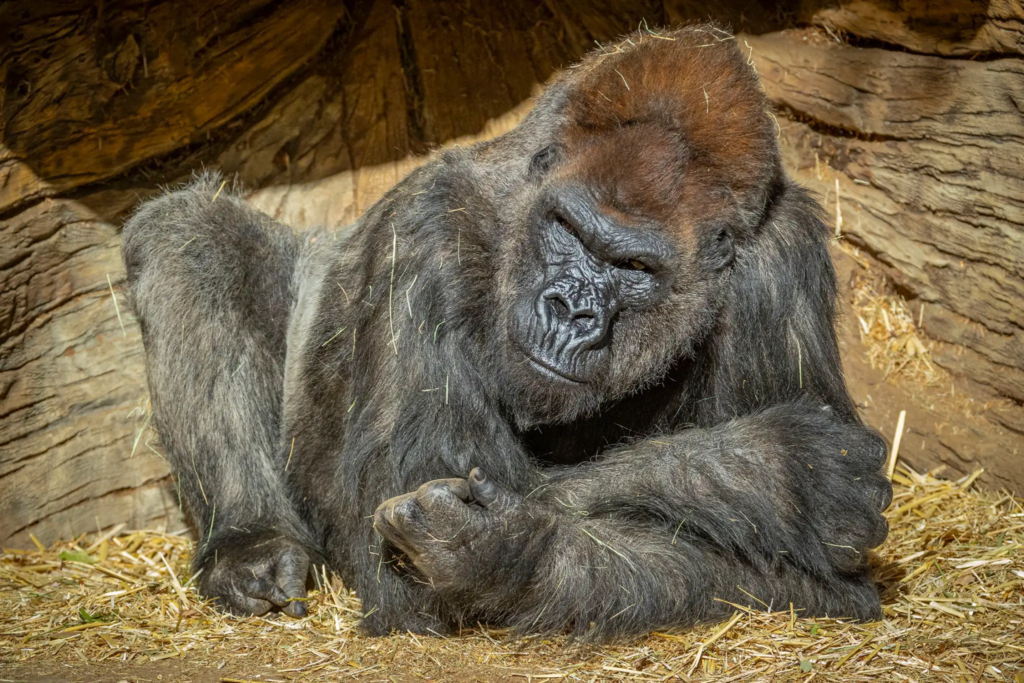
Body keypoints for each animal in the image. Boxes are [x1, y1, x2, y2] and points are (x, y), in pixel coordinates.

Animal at [117, 22, 888, 643]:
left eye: (633, 266)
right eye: (568, 230)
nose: (570, 310)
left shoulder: (780, 263)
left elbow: (818, 587)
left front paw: (504, 552)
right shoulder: (426, 231)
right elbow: (400, 550)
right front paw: (776, 471)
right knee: (190, 233)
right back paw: (249, 544)